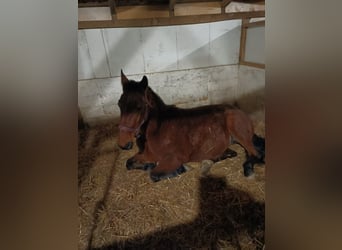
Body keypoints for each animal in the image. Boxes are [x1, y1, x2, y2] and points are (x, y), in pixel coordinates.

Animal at [117, 70, 264, 182]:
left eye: (139, 107)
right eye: (119, 104)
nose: (123, 144)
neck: (158, 129)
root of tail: (239, 111)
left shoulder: (175, 158)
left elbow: (154, 174)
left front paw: (182, 168)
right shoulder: (146, 154)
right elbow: (129, 163)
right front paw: (147, 164)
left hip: (239, 132)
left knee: (254, 154)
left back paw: (248, 171)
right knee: (232, 152)